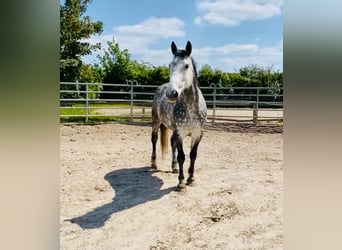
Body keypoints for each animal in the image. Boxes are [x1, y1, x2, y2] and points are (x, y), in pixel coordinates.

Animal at [151, 40, 207, 189]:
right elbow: (182, 156)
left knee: (171, 143)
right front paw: (181, 182)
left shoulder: (197, 134)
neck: (192, 108)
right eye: (170, 65)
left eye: (186, 66)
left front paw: (191, 178)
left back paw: (174, 166)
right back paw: (153, 164)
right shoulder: (180, 133)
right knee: (154, 140)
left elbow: (193, 155)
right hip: (156, 122)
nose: (171, 93)